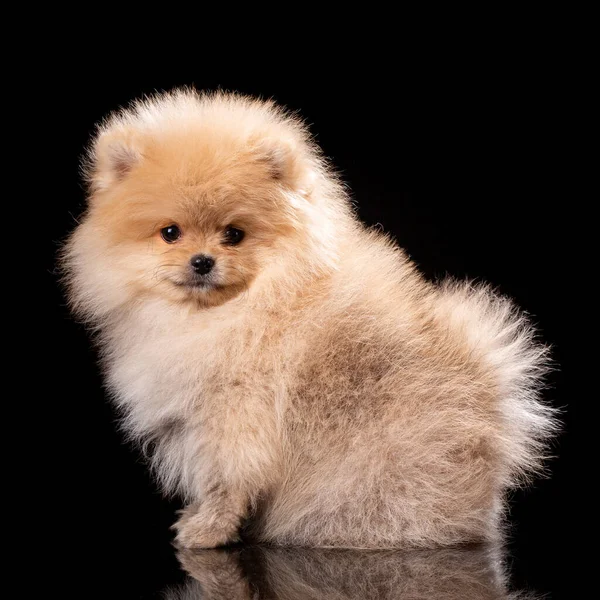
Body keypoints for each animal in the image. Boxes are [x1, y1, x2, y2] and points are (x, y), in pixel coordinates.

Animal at [63, 89, 556, 548]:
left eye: (234, 234)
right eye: (170, 233)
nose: (202, 261)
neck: (234, 310)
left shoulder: (237, 411)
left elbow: (227, 479)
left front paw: (206, 530)